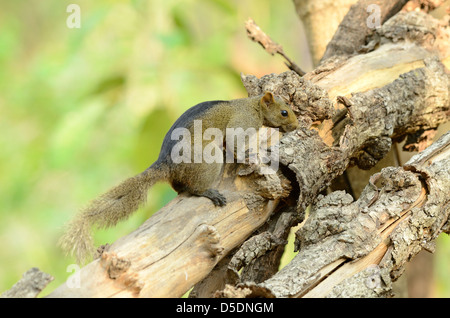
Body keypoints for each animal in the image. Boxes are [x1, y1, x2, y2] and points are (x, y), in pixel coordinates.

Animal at [59, 91, 298, 264]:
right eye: (284, 112)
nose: (296, 126)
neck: (253, 106)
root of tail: (167, 164)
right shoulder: (241, 123)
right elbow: (234, 143)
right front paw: (249, 155)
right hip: (208, 161)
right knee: (194, 189)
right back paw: (209, 192)